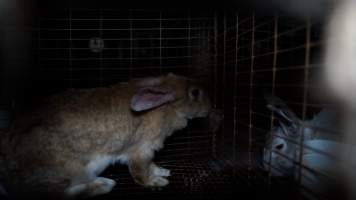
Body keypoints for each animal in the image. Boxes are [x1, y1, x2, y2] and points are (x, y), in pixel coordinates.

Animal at [0, 73, 211, 198]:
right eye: (195, 93)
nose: (210, 108)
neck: (167, 107)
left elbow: (151, 165)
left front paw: (162, 171)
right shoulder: (141, 150)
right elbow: (140, 172)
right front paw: (156, 182)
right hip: (70, 172)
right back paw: (104, 184)